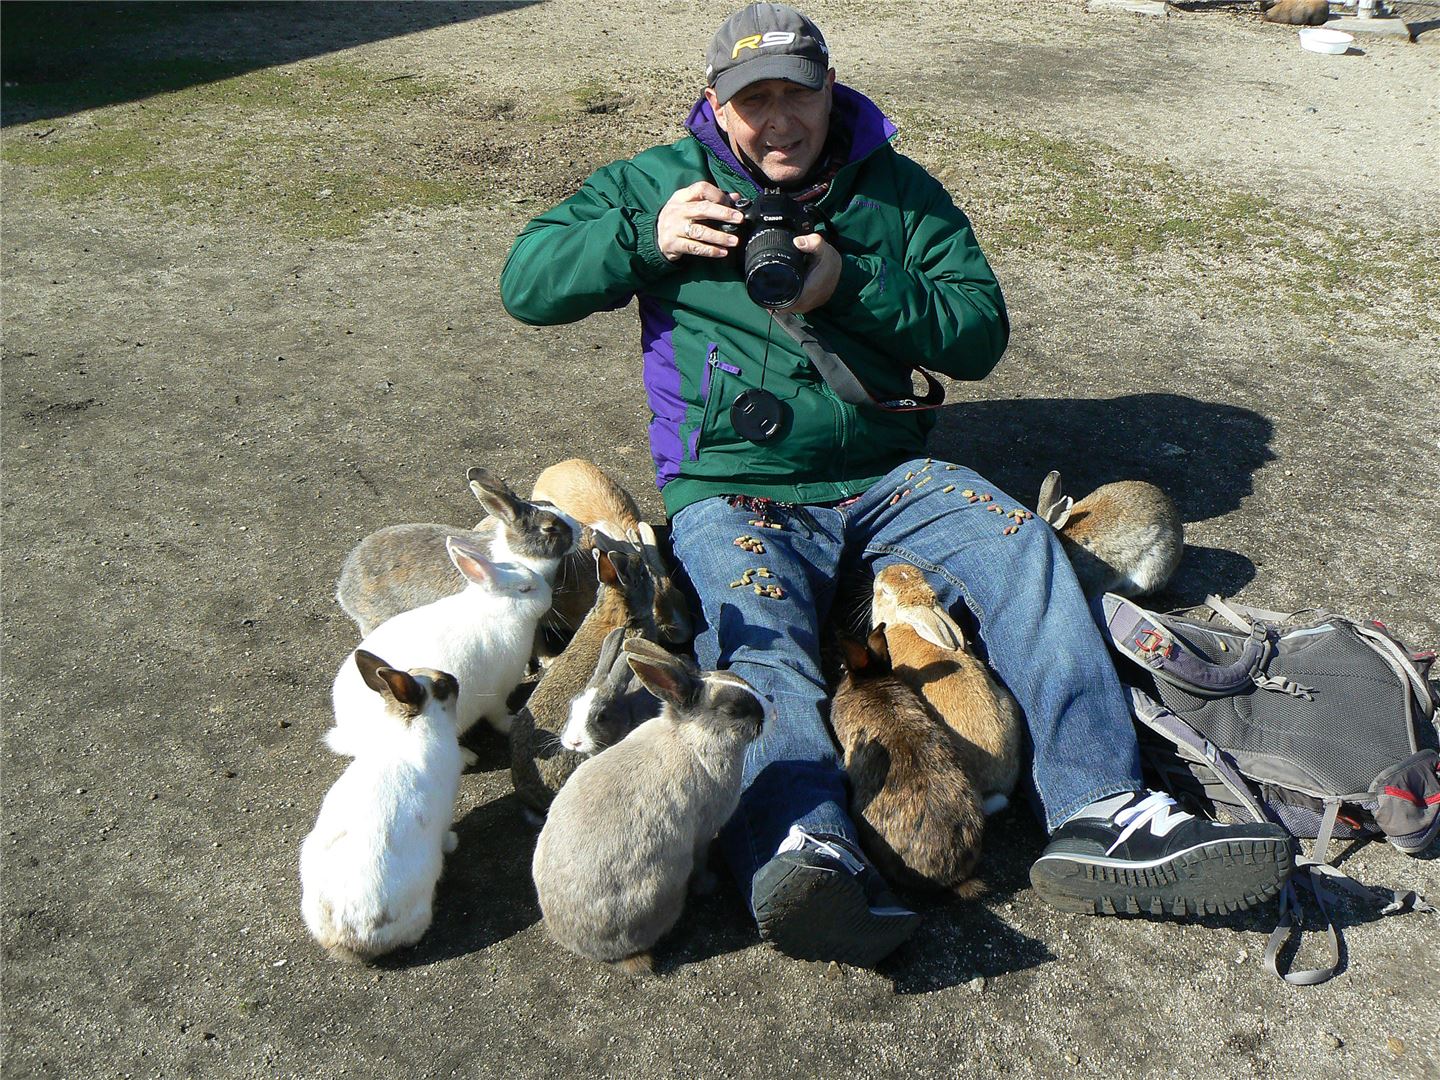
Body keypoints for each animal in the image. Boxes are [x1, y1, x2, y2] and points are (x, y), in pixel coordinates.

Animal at [331, 538, 550, 743]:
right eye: (525, 589)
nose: (549, 594)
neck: (497, 612)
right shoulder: (495, 696)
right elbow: (498, 716)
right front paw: (512, 722)